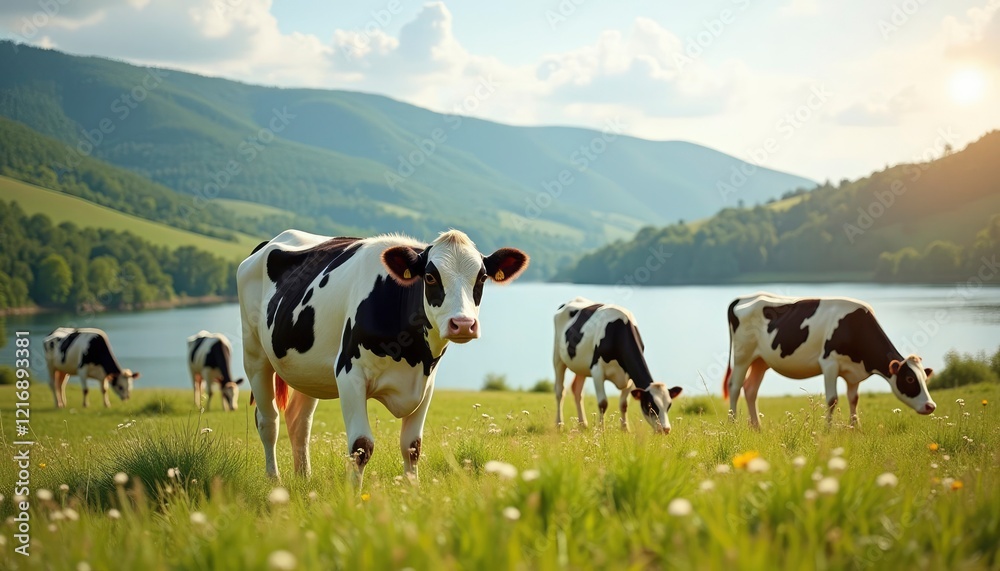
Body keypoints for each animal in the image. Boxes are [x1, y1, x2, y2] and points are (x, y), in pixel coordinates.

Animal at [238, 229, 529, 481]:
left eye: (481, 278)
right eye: (431, 277)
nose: (464, 323)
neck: (412, 356)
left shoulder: (427, 383)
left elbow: (412, 447)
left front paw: (413, 492)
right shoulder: (349, 374)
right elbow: (361, 447)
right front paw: (355, 500)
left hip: (307, 371)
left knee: (299, 422)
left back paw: (304, 479)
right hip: (254, 354)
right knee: (268, 421)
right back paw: (274, 481)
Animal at [553, 297, 683, 433]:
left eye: (669, 405)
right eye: (649, 405)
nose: (666, 429)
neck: (617, 333)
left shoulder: (630, 376)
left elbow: (624, 404)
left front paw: (625, 429)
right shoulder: (597, 370)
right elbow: (603, 403)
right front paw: (601, 430)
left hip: (580, 367)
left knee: (577, 391)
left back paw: (583, 424)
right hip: (557, 357)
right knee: (560, 391)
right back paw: (559, 424)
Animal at [723, 292, 937, 428]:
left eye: (924, 378)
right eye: (909, 379)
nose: (931, 406)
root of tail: (745, 297)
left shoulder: (853, 373)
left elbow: (854, 398)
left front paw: (855, 427)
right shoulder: (830, 363)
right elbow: (832, 399)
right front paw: (828, 429)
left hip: (760, 360)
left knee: (751, 389)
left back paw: (757, 427)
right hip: (743, 355)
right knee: (735, 387)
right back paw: (733, 424)